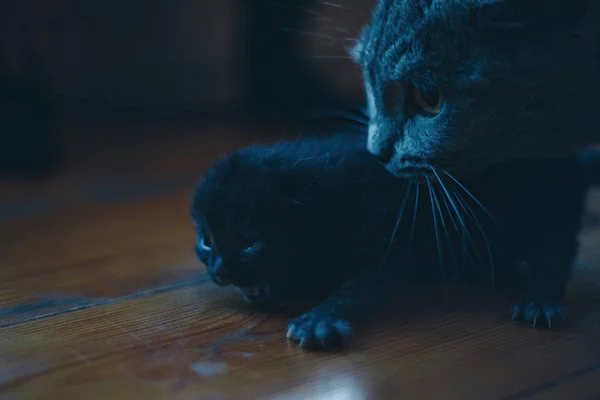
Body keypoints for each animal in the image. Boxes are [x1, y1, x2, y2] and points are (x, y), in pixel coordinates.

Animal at [191, 134, 584, 350]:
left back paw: (540, 301)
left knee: (555, 251)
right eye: (206, 242)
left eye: (250, 242)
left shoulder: (389, 236)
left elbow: (359, 287)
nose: (220, 271)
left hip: (547, 204)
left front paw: (320, 319)